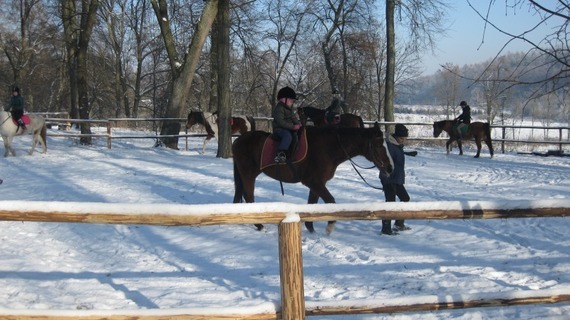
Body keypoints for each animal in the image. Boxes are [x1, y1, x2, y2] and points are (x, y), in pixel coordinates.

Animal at [231, 122, 390, 235]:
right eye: (378, 145)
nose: (390, 168)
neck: (328, 148)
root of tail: (238, 140)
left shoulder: (317, 184)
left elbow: (312, 205)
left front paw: (311, 229)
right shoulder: (314, 183)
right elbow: (331, 202)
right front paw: (330, 226)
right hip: (248, 174)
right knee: (249, 195)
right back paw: (259, 225)